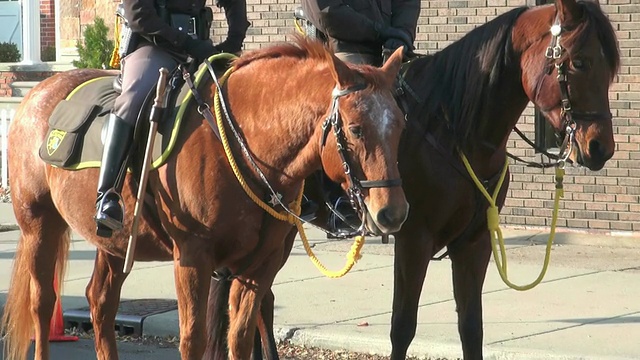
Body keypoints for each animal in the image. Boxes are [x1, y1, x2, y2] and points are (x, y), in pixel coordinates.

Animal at [1, 37, 410, 360]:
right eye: (356, 129)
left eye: (400, 125)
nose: (393, 212)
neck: (243, 142)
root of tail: (38, 92)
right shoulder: (193, 259)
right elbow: (194, 340)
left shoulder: (259, 266)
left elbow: (240, 338)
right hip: (39, 225)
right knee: (42, 304)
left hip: (113, 241)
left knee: (100, 304)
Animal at [214, 0, 620, 358]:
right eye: (579, 62)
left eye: (611, 67)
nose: (600, 147)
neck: (455, 131)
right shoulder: (414, 240)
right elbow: (402, 327)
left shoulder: (474, 243)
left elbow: (471, 328)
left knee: (259, 301)